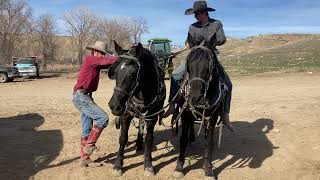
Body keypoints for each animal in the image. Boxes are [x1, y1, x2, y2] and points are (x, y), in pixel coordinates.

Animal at [109, 41, 166, 176]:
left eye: (133, 74)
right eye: (115, 73)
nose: (114, 106)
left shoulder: (151, 117)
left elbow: (149, 139)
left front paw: (148, 165)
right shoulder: (125, 115)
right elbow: (123, 138)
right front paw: (118, 165)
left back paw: (139, 144)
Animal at [172, 41, 228, 179]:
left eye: (209, 66)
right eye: (189, 66)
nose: (195, 98)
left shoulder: (212, 118)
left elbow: (209, 142)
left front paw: (208, 169)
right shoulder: (185, 114)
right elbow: (183, 139)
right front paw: (179, 167)